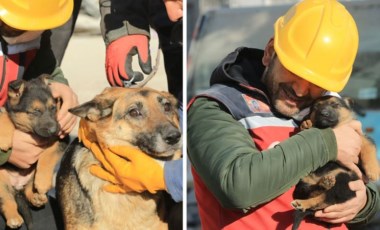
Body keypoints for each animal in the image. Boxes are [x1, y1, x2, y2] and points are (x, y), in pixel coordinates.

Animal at [0, 75, 67, 228]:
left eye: (53, 108)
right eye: (36, 111)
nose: (56, 130)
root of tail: (17, 187)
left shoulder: (61, 142)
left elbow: (48, 156)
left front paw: (42, 182)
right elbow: (5, 115)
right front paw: (3, 138)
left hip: (31, 176)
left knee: (28, 191)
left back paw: (37, 197)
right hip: (1, 180)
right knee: (7, 201)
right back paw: (14, 218)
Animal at [290, 95, 378, 230]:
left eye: (335, 105)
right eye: (316, 107)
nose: (323, 113)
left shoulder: (360, 136)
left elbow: (369, 148)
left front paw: (374, 171)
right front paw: (306, 123)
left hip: (343, 178)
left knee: (326, 198)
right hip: (304, 183)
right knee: (318, 196)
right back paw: (305, 199)